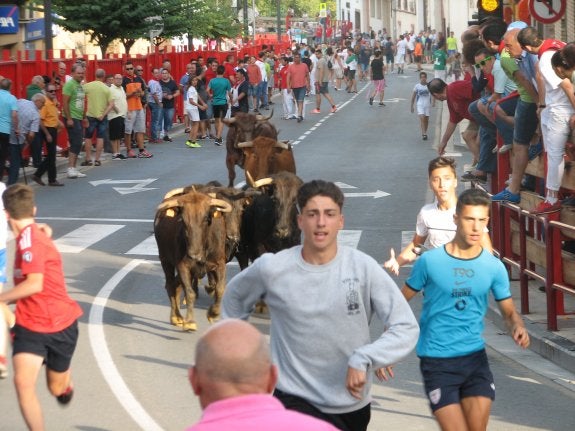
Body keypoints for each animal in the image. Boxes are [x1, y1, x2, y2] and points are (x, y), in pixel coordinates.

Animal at [155, 192, 234, 330]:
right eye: (183, 220)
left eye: (206, 219)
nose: (193, 254)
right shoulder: (183, 266)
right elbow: (190, 293)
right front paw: (190, 322)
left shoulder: (220, 264)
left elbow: (220, 289)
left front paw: (213, 313)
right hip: (165, 260)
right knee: (170, 285)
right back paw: (176, 317)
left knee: (175, 285)